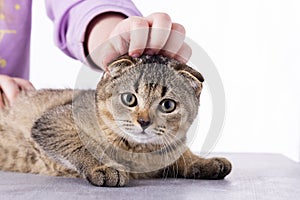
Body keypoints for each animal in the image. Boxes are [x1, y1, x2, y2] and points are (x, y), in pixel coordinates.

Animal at [0, 54, 232, 186]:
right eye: (129, 98)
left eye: (168, 105)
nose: (144, 121)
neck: (137, 151)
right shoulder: (53, 121)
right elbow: (83, 144)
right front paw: (103, 166)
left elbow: (181, 154)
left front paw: (204, 162)